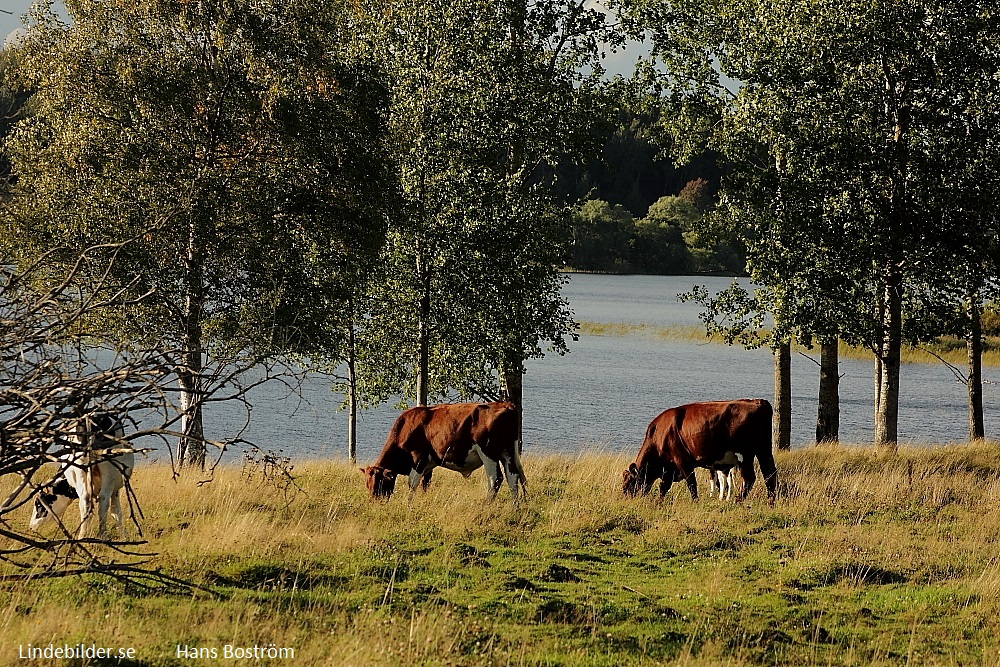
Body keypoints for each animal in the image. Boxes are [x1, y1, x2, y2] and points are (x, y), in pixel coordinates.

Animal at [362, 404, 532, 504]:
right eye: (367, 484)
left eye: (379, 483)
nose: (374, 502)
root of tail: (504, 405)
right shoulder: (429, 463)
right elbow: (425, 483)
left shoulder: (419, 459)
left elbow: (412, 483)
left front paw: (408, 503)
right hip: (508, 453)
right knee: (512, 477)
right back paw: (514, 506)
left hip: (488, 452)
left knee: (495, 479)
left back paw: (487, 504)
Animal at [620, 400, 776, 504]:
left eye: (628, 483)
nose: (625, 499)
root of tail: (758, 402)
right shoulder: (669, 468)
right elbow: (664, 486)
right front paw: (659, 500)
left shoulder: (682, 461)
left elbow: (691, 483)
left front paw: (695, 501)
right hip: (764, 451)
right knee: (770, 474)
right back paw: (771, 501)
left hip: (744, 454)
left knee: (749, 478)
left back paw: (737, 500)